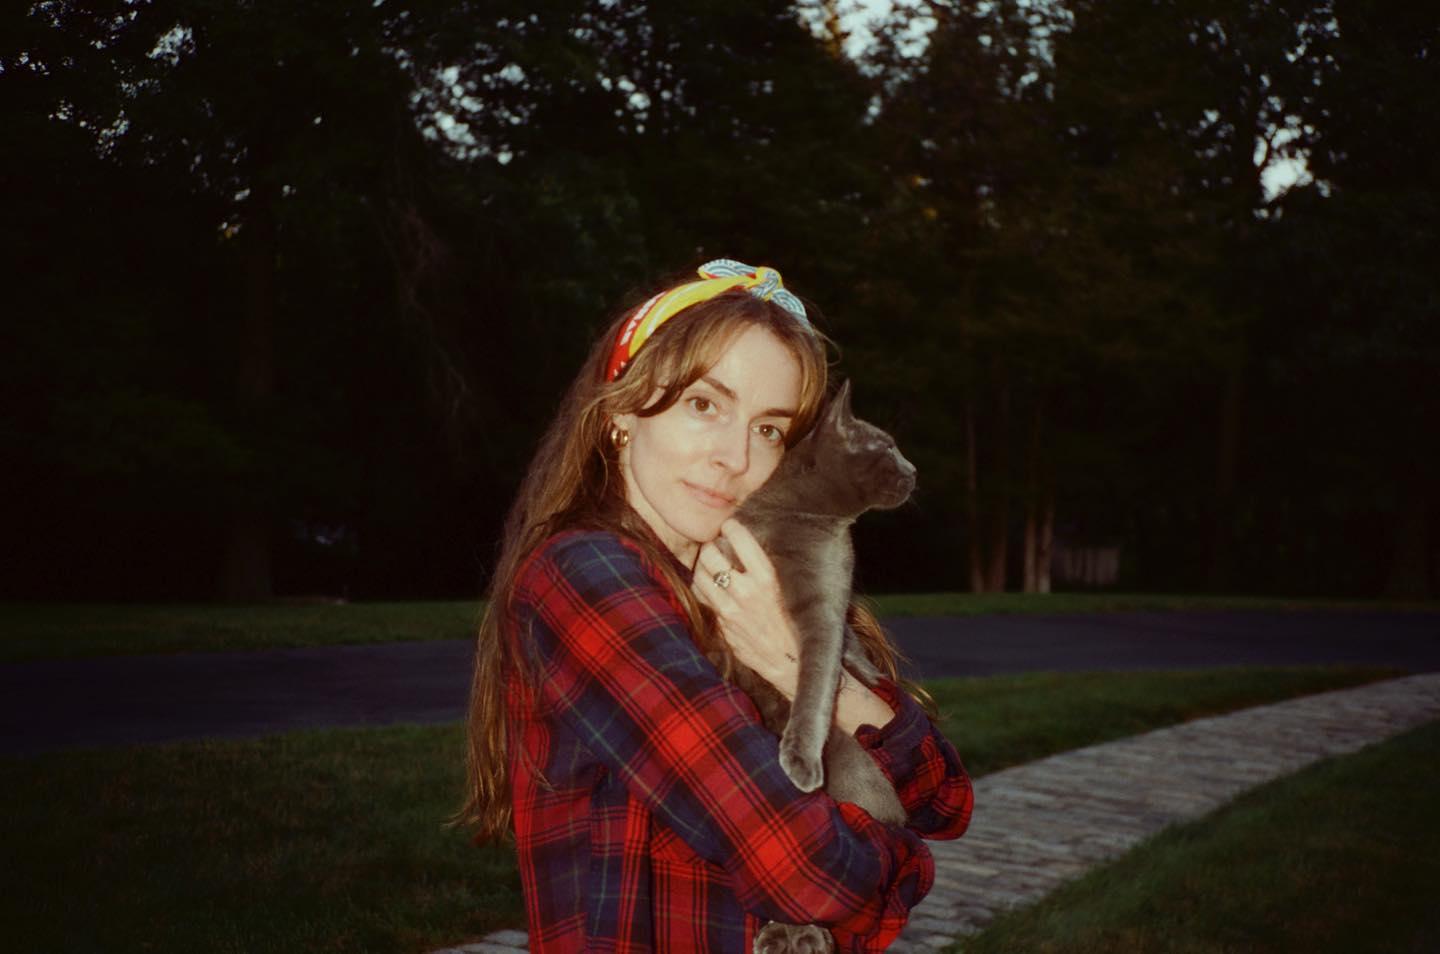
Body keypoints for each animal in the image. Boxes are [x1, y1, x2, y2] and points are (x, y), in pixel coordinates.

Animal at [714, 380, 915, 954]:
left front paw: (799, 758)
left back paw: (800, 934)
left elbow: (818, 679)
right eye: (887, 446)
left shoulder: (823, 611)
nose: (915, 469)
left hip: (851, 770)